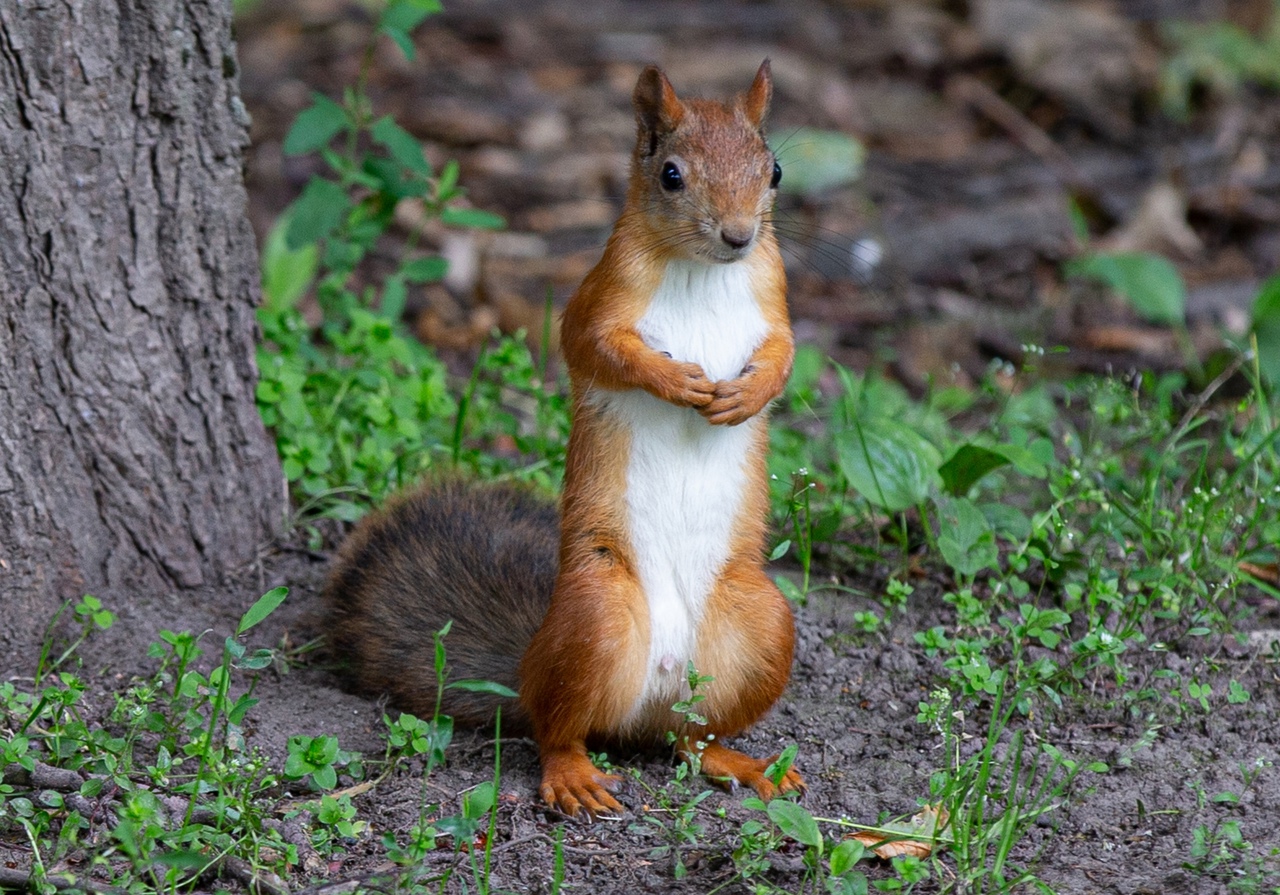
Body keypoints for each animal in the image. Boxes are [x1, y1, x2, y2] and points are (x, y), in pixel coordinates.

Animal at [325, 61, 798, 819]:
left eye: (774, 169)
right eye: (670, 174)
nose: (737, 235)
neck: (702, 270)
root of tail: (650, 699)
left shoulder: (773, 290)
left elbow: (784, 354)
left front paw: (746, 396)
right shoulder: (599, 293)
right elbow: (594, 346)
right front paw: (676, 381)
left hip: (761, 624)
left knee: (692, 739)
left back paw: (741, 762)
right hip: (596, 616)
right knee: (556, 728)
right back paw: (573, 773)